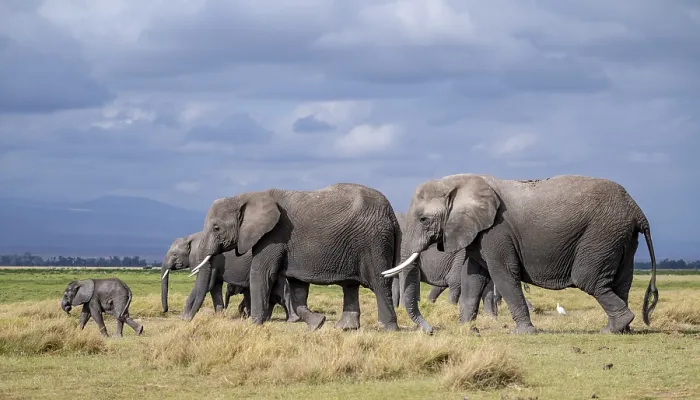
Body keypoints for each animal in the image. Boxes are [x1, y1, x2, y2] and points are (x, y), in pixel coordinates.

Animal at [160, 232, 299, 322]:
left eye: (174, 254)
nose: (165, 311)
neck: (190, 238)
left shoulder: (211, 260)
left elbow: (206, 285)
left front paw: (183, 318)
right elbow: (214, 287)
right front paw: (219, 317)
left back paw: (290, 319)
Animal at [189, 183, 401, 332]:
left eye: (216, 228)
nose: (187, 320)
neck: (246, 197)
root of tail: (392, 213)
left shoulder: (273, 236)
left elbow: (261, 273)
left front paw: (254, 325)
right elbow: (297, 289)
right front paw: (318, 324)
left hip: (374, 241)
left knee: (379, 282)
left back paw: (387, 328)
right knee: (350, 285)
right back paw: (345, 328)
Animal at [383, 174, 659, 335]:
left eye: (423, 219)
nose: (431, 331)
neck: (460, 182)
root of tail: (637, 210)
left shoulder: (497, 230)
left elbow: (502, 274)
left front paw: (523, 333)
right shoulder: (479, 233)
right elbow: (473, 278)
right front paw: (466, 329)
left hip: (601, 234)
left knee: (589, 280)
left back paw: (613, 328)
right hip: (621, 237)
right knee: (621, 282)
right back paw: (619, 329)